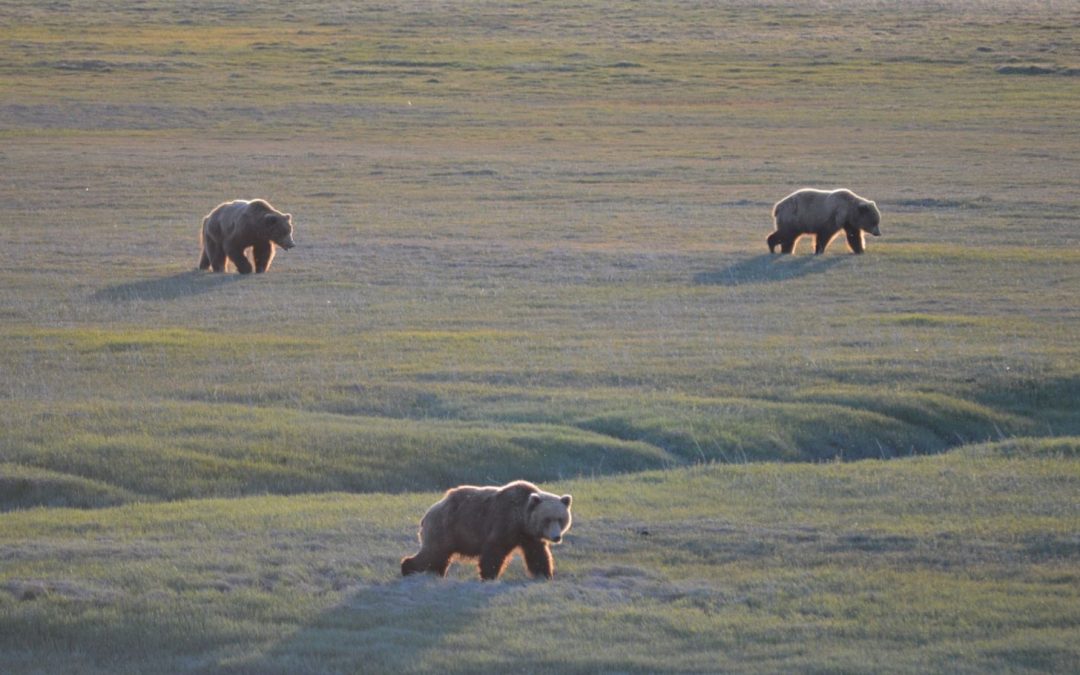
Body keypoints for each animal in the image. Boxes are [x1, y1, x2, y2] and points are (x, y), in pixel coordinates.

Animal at [401, 480, 573, 581]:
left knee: (439, 557)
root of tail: (427, 514)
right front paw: (489, 576)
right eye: (547, 519)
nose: (556, 537)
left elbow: (538, 554)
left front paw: (545, 574)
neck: (521, 519)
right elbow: (494, 550)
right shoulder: (503, 522)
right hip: (445, 528)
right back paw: (407, 568)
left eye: (560, 519)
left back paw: (437, 573)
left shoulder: (529, 536)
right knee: (433, 553)